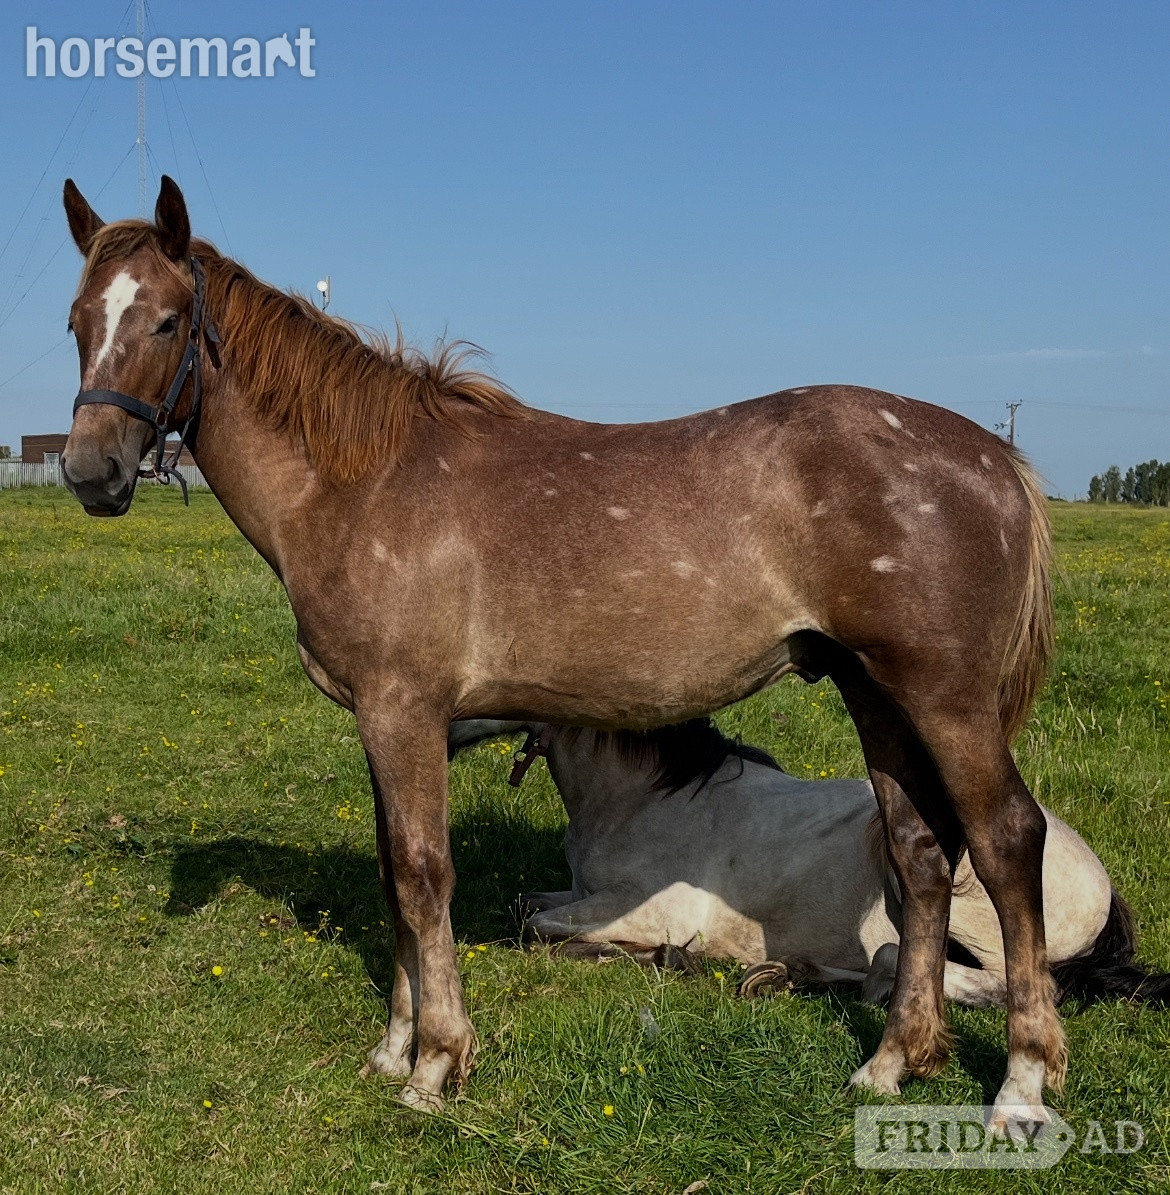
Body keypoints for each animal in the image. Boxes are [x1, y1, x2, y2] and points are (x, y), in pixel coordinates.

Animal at [60, 175, 1061, 1130]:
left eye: (166, 320)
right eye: (77, 323)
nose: (90, 473)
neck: (360, 483)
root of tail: (996, 458)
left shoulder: (402, 711)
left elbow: (422, 874)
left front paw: (435, 1063)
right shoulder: (381, 722)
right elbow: (393, 873)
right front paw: (393, 1046)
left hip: (947, 702)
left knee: (1007, 841)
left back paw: (1021, 1082)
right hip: (876, 695)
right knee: (920, 856)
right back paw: (893, 1062)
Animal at [450, 719, 1170, 1009]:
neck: (644, 796)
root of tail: (1103, 888)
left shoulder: (654, 908)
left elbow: (534, 930)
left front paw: (662, 957)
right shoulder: (577, 891)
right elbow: (525, 907)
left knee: (954, 974)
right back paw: (785, 974)